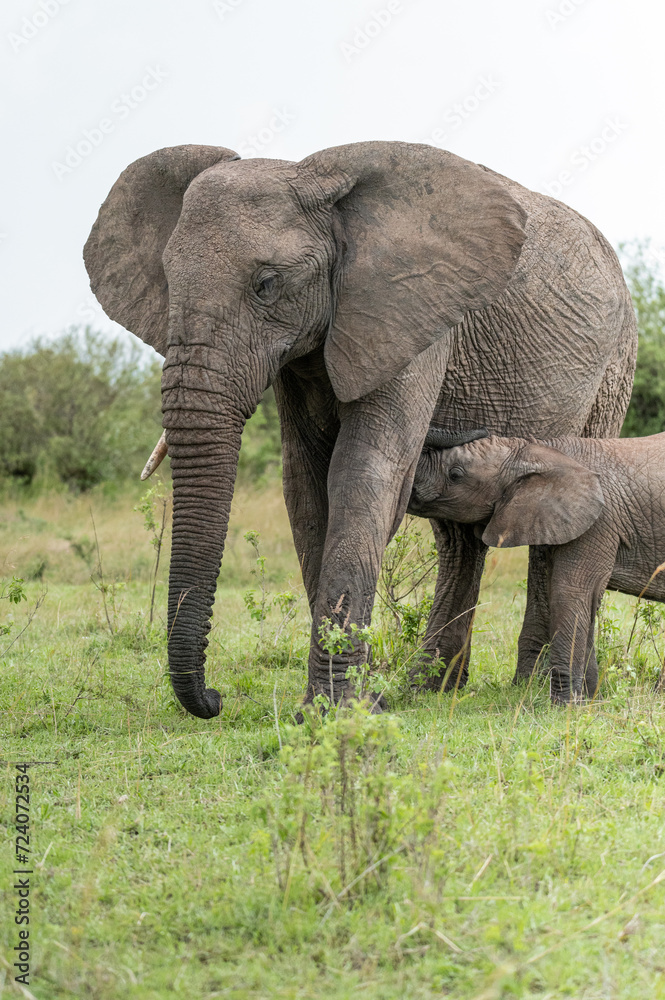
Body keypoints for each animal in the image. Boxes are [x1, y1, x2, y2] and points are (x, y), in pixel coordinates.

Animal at [408, 430, 664, 704]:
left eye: (455, 474)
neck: (539, 450)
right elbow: (583, 599)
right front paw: (587, 700)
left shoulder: (599, 522)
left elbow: (568, 592)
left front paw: (566, 705)